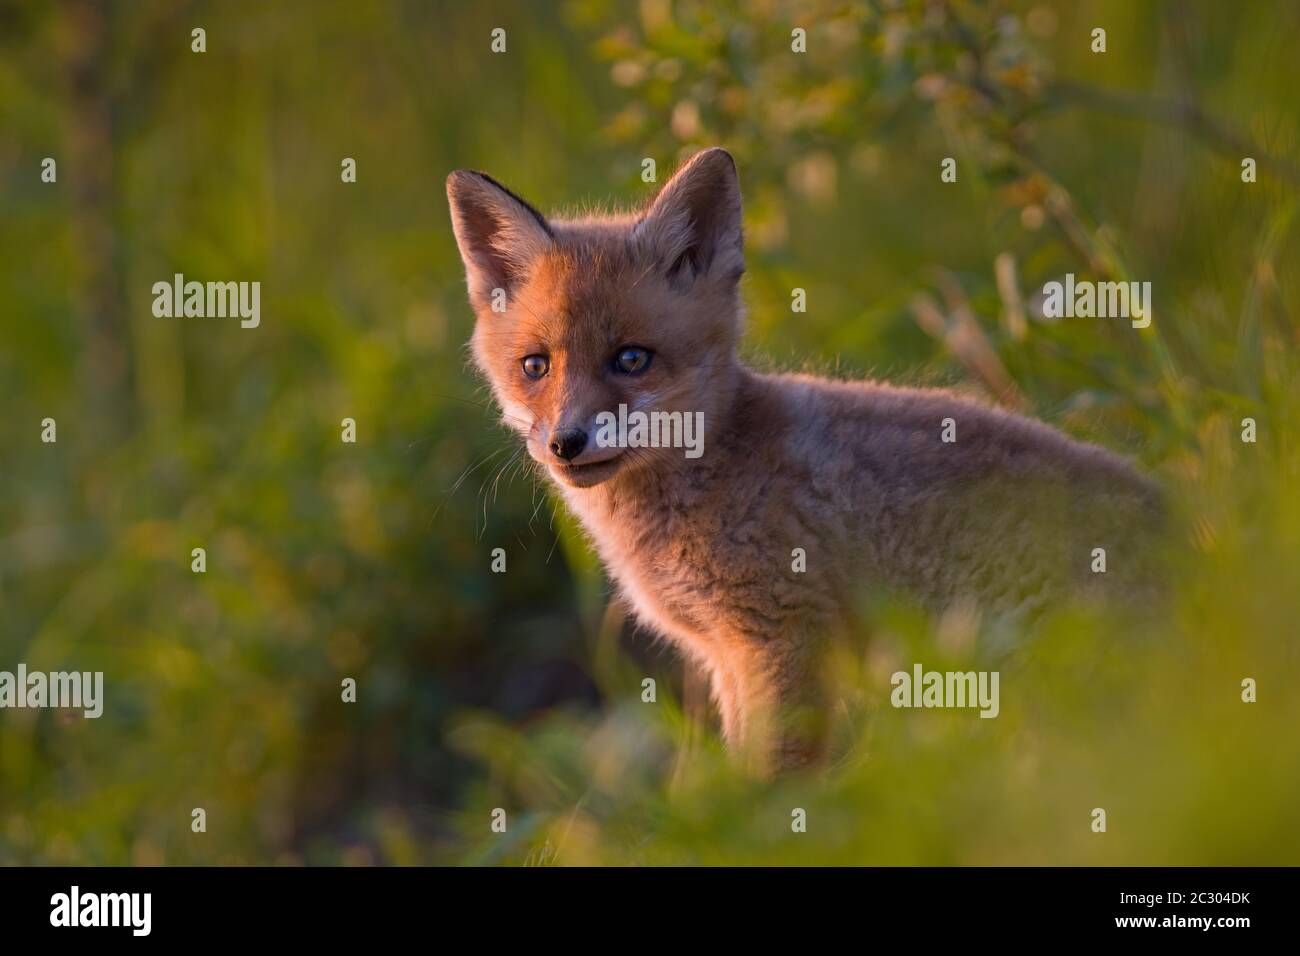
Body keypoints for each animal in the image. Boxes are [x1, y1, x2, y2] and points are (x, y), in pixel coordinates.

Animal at [447, 151, 1159, 780]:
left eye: (630, 359)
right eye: (535, 366)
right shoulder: (729, 656)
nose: (566, 442)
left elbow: (771, 781)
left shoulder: (781, 636)